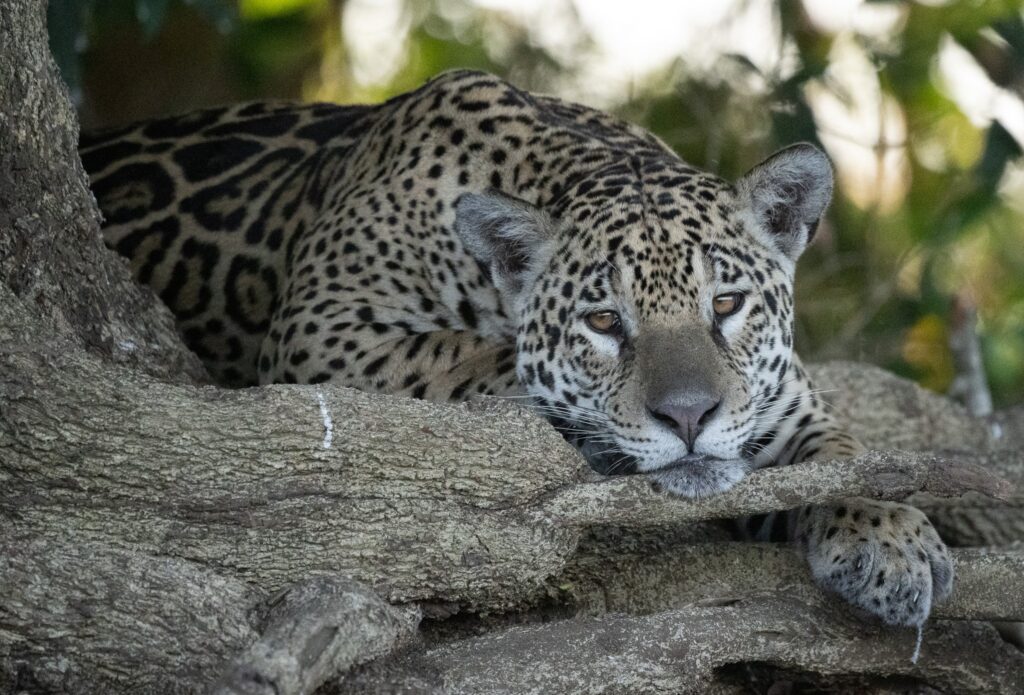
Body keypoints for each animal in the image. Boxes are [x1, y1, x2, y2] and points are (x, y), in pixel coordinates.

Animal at [80, 69, 953, 629]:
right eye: (603, 322)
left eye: (727, 304)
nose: (688, 416)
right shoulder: (325, 328)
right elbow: (472, 356)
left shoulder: (783, 404)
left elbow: (844, 454)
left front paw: (892, 537)